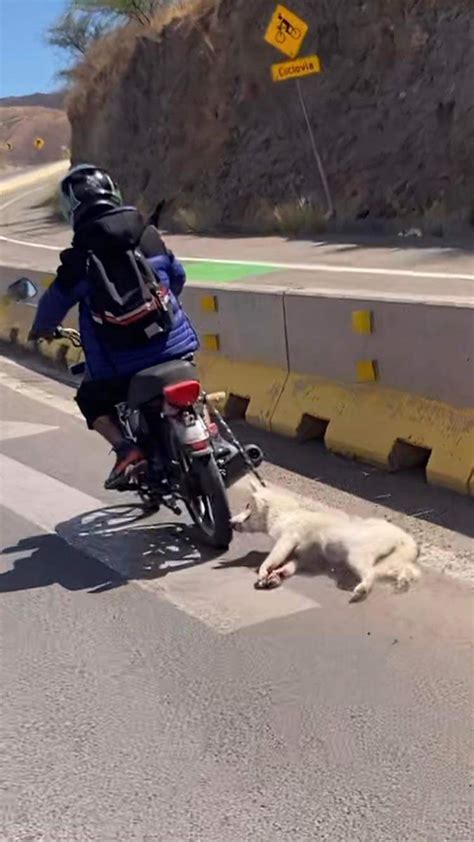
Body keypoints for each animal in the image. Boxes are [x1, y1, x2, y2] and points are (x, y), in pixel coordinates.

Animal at [231, 482, 420, 600]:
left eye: (247, 506)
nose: (230, 522)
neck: (285, 513)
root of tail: (404, 537)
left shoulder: (288, 538)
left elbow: (273, 557)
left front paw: (264, 570)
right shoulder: (306, 556)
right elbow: (291, 564)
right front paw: (278, 573)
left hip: (357, 555)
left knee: (370, 573)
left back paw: (362, 588)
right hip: (389, 561)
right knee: (406, 570)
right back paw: (403, 581)